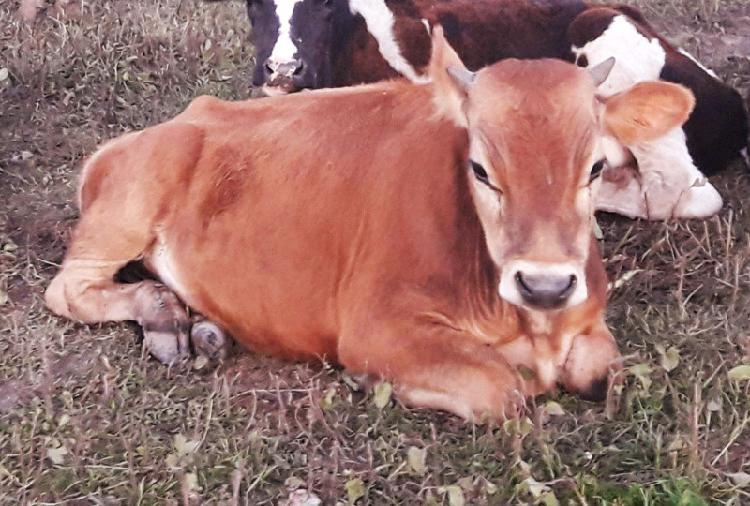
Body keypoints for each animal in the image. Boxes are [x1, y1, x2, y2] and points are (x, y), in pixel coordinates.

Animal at [45, 29, 700, 422]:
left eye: (595, 166)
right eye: (480, 169)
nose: (544, 284)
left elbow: (603, 372)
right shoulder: (377, 327)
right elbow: (504, 389)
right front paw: (369, 383)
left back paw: (195, 326)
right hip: (125, 209)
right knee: (68, 289)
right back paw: (160, 316)